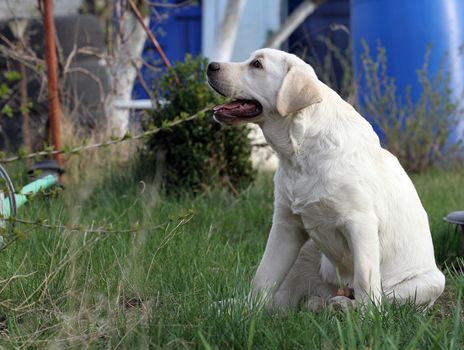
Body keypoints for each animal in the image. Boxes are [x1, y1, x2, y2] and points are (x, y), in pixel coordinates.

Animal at [207, 47, 446, 310]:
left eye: (257, 64)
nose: (210, 65)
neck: (300, 154)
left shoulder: (361, 223)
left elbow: (365, 279)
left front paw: (367, 316)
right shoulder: (286, 225)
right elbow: (264, 275)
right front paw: (248, 312)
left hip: (432, 282)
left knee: (380, 296)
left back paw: (343, 305)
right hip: (308, 249)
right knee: (286, 297)